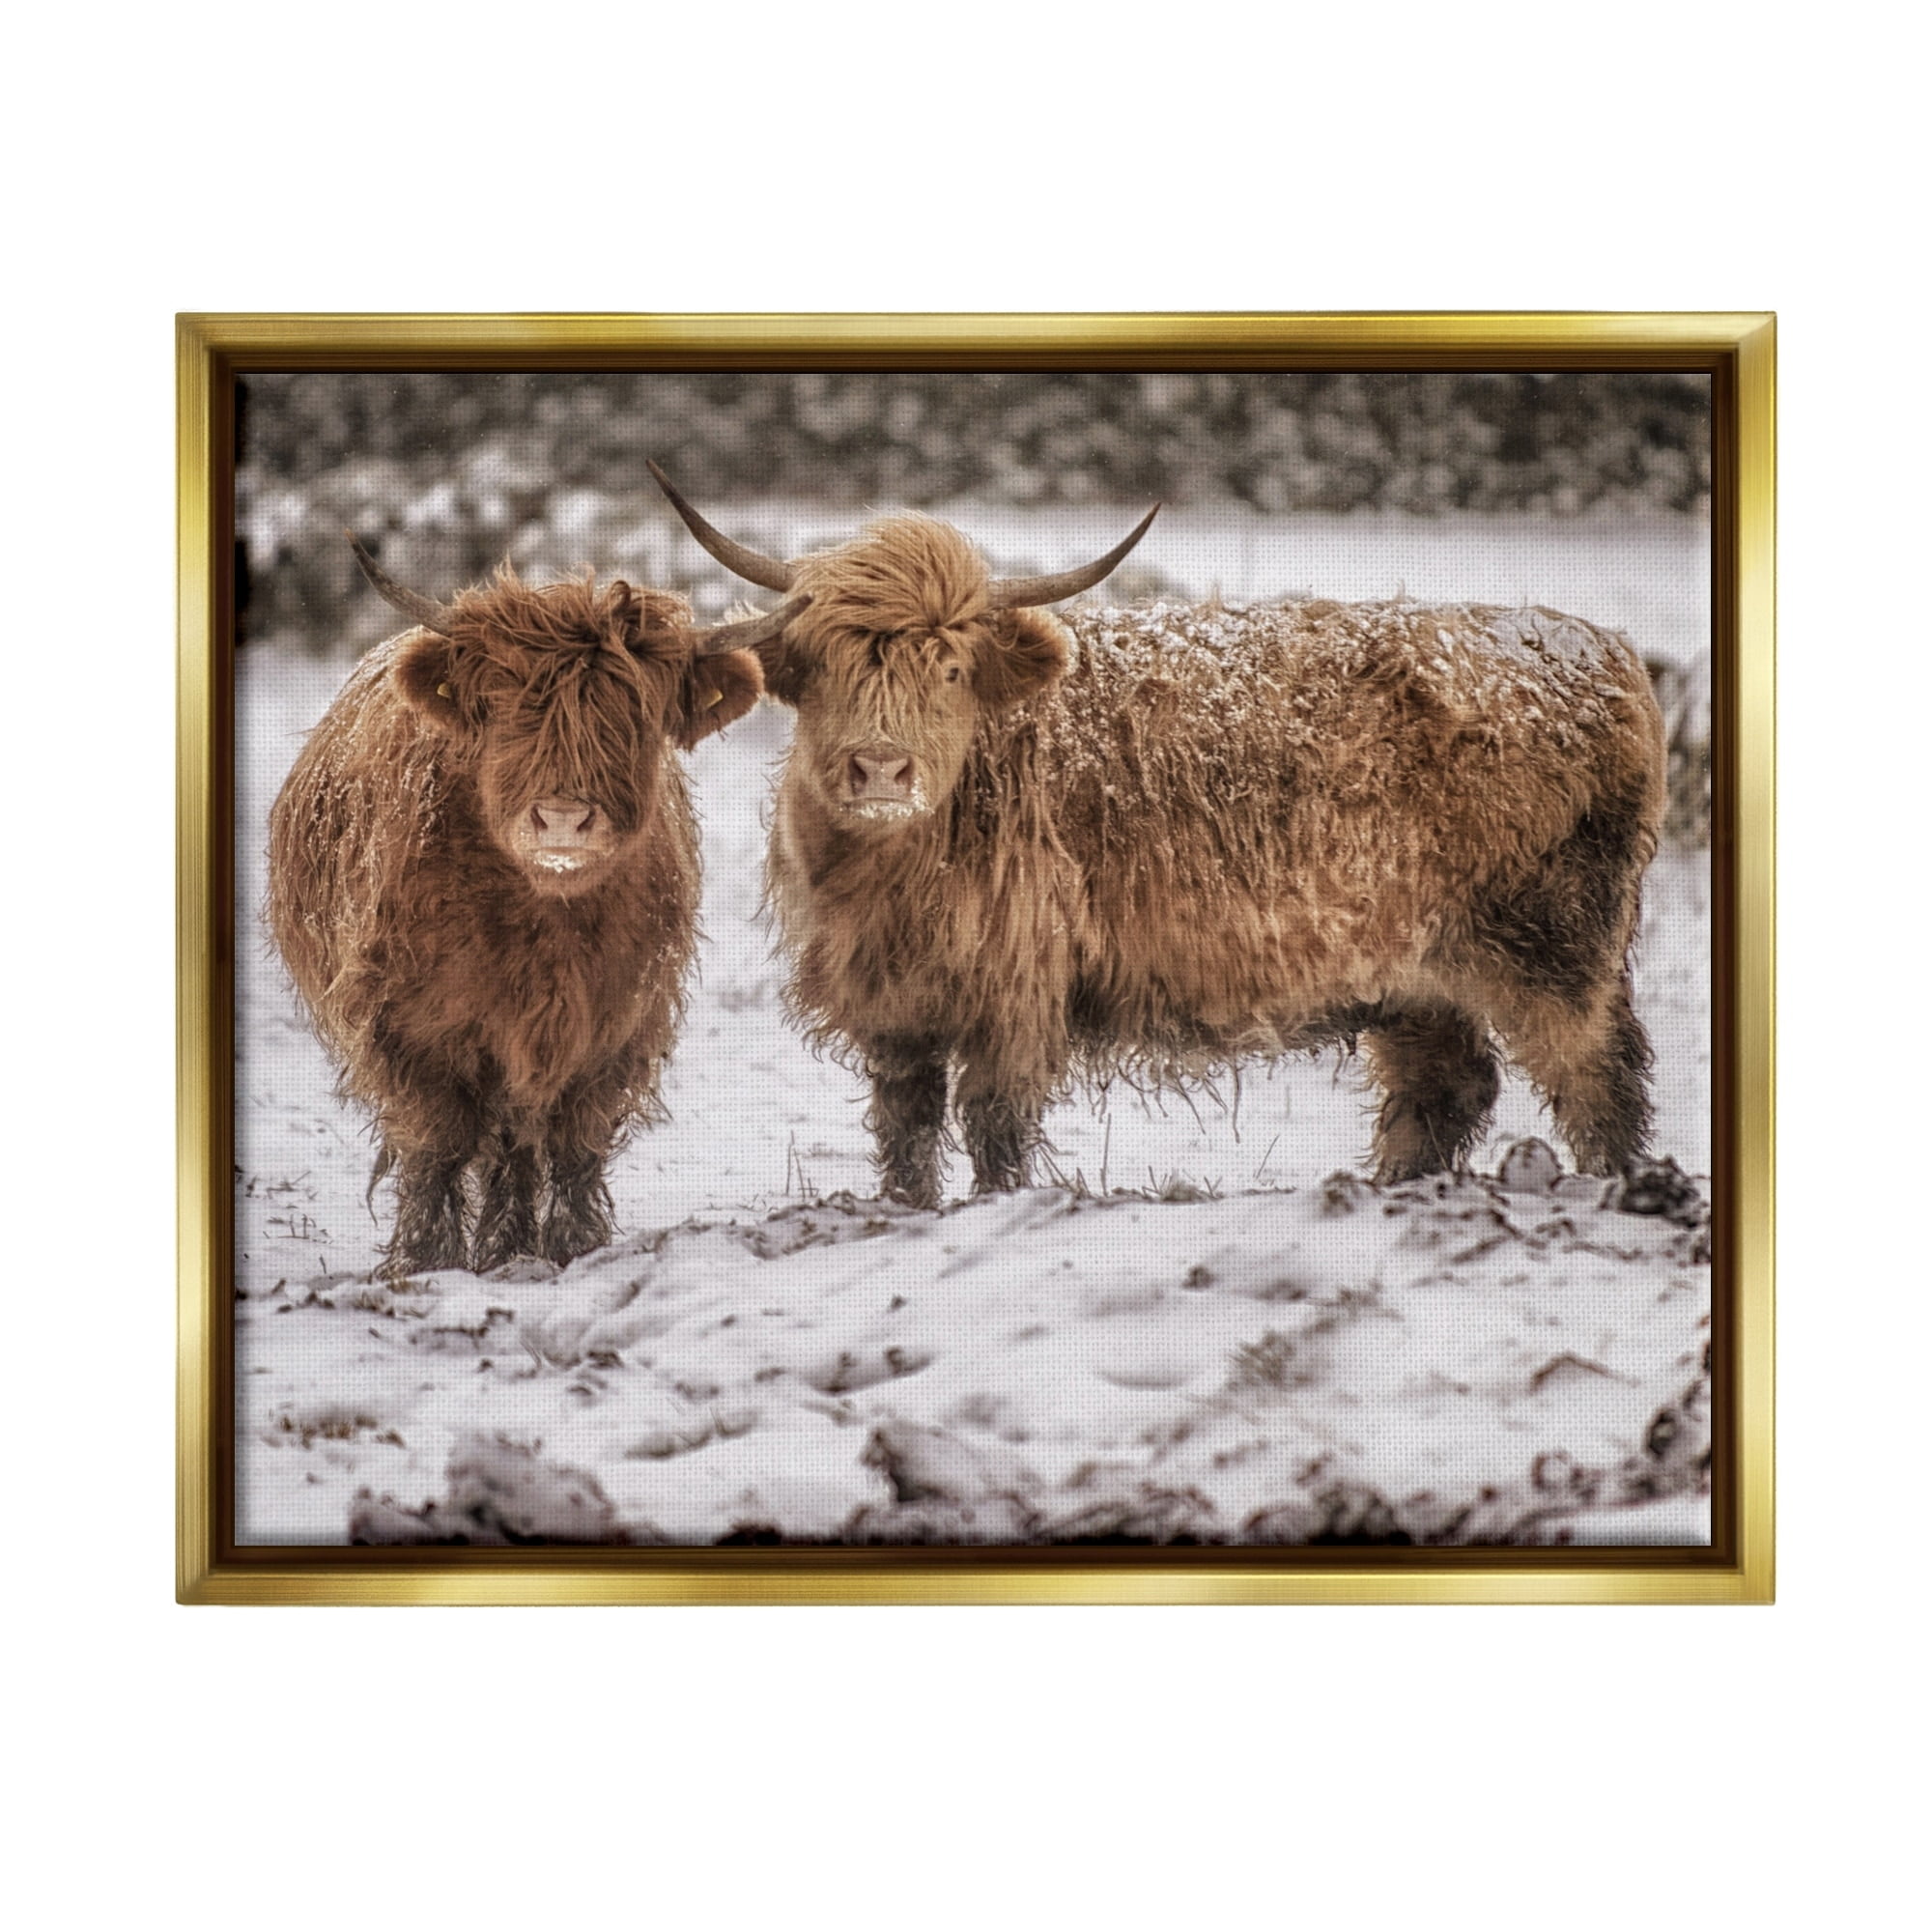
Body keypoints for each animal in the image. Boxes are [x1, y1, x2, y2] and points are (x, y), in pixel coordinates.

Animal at [267, 536, 806, 1273]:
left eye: (635, 714)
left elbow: (576, 1141)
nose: (562, 820)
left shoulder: (619, 1021)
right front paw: (428, 1258)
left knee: (515, 1141)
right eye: (504, 711)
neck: (543, 919)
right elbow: (436, 1141)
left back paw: (511, 1245)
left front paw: (573, 1246)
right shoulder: (406, 1024)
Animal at [649, 465, 1669, 1211]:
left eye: (949, 668)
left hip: (1556, 943)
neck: (892, 877)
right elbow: (905, 1130)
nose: (880, 770)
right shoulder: (897, 1004)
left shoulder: (1016, 988)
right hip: (1416, 971)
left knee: (1597, 1079)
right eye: (822, 666)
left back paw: (1618, 1190)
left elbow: (994, 1124)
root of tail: (1604, 651)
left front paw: (997, 1205)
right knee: (1446, 1087)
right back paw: (1390, 1189)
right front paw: (908, 1209)